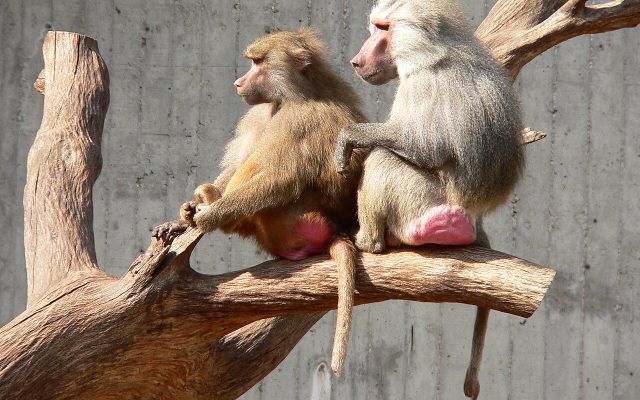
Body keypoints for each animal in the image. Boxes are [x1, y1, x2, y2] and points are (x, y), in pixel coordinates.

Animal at [153, 29, 366, 377]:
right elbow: (241, 158)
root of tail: (335, 228)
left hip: (294, 220)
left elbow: (281, 178)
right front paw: (181, 219)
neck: (290, 96)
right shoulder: (261, 112)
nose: (238, 82)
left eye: (258, 62)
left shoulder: (298, 120)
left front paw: (208, 217)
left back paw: (213, 206)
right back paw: (205, 197)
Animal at [333, 1, 524, 398]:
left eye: (383, 29)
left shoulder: (420, 84)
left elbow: (425, 147)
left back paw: (371, 241)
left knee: (384, 159)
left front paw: (348, 138)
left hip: (423, 199)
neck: (433, 51)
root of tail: (475, 217)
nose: (356, 61)